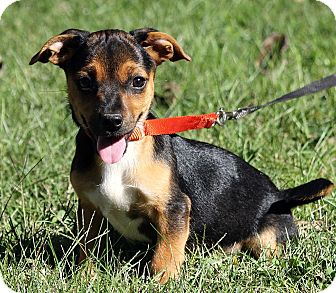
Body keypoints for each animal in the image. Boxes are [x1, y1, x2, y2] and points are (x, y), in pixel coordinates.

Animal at [29, 28, 334, 282]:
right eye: (84, 82)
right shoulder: (89, 209)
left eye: (138, 81)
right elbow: (87, 249)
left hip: (267, 240)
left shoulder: (174, 209)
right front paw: (84, 278)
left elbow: (165, 256)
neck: (125, 156)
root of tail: (279, 195)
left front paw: (161, 283)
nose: (111, 121)